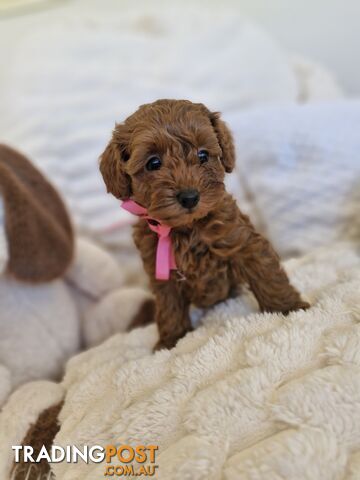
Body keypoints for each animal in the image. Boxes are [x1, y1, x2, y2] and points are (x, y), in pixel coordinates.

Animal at [100, 100, 310, 348]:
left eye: (203, 155)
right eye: (153, 163)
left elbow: (267, 275)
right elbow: (168, 307)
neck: (186, 228)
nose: (190, 197)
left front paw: (289, 308)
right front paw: (171, 341)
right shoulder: (160, 272)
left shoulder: (242, 241)